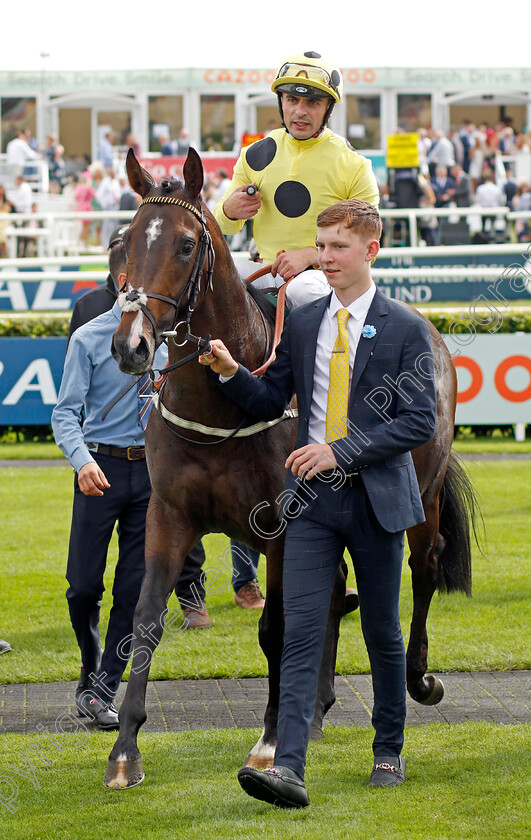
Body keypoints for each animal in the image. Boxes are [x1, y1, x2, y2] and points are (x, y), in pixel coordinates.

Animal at [102, 149, 476, 788]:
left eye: (185, 245)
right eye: (123, 242)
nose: (131, 345)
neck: (223, 405)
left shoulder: (280, 526)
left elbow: (276, 626)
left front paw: (270, 742)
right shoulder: (169, 516)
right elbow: (145, 620)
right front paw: (125, 751)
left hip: (421, 495)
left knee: (423, 570)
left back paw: (419, 679)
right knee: (336, 589)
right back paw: (319, 706)